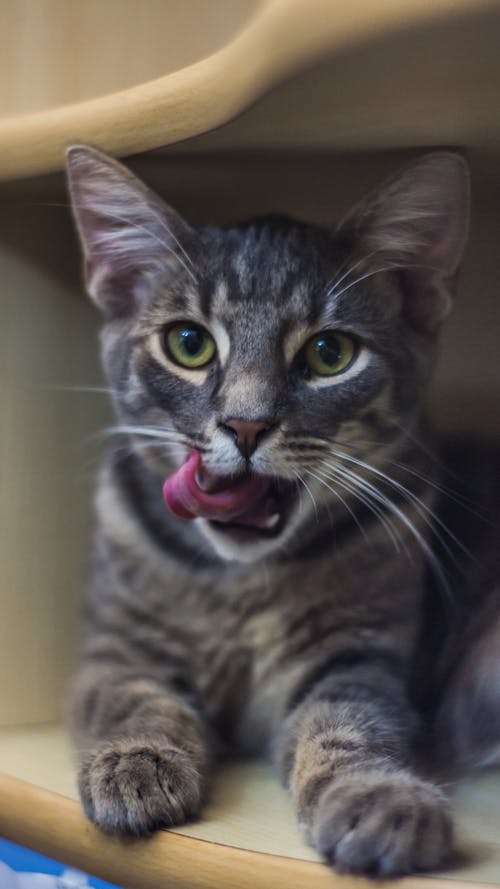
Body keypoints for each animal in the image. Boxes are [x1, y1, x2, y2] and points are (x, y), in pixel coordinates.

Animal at [64, 146, 498, 876]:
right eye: (188, 343)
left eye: (329, 353)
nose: (245, 425)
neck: (238, 580)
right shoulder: (115, 645)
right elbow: (133, 696)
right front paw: (136, 761)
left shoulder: (357, 654)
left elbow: (350, 723)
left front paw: (380, 795)